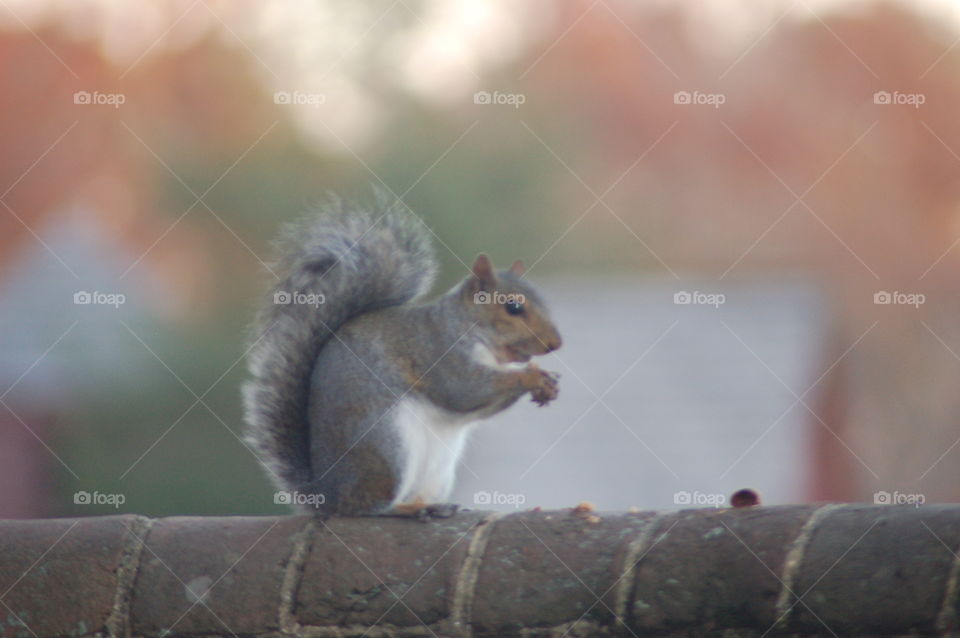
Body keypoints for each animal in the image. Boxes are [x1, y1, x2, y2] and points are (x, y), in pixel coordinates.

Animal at [242, 194, 562, 518]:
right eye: (513, 307)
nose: (555, 344)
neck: (471, 328)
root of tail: (327, 497)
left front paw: (547, 381)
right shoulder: (438, 350)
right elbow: (465, 389)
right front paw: (531, 376)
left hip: (437, 473)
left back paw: (431, 506)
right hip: (385, 447)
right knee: (370, 506)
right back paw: (404, 509)